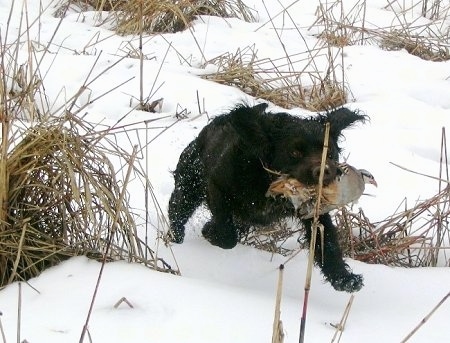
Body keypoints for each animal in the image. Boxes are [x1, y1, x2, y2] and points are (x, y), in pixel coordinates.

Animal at [168, 103, 366, 292]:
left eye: (330, 153)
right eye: (295, 152)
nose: (325, 172)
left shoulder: (314, 212)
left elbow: (327, 243)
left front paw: (343, 278)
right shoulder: (217, 187)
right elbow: (227, 236)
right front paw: (211, 233)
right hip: (188, 188)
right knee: (177, 212)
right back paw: (176, 240)